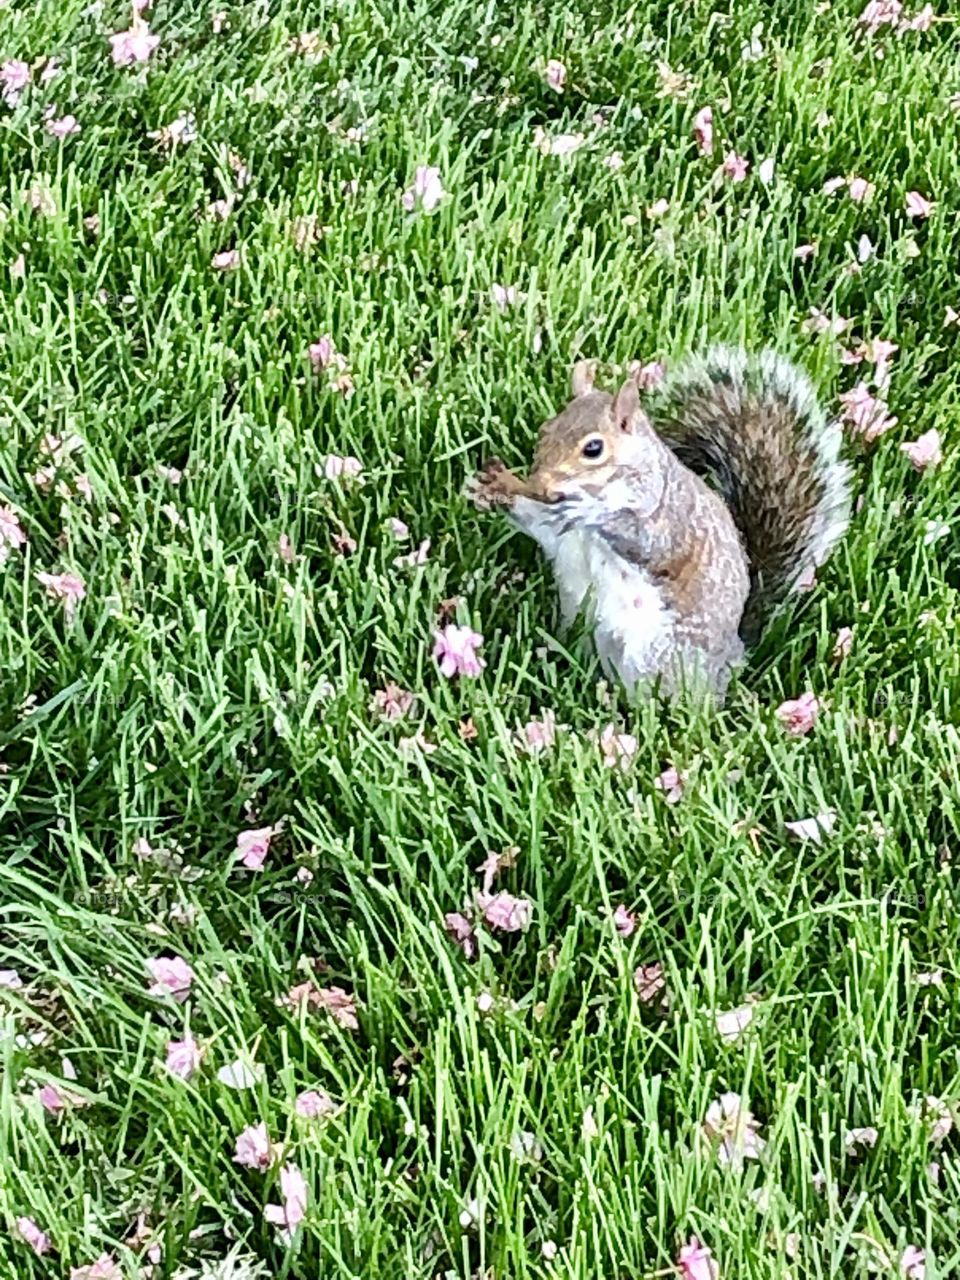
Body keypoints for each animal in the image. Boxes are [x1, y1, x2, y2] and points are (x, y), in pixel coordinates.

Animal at [468, 346, 852, 701]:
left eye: (593, 448)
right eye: (546, 430)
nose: (542, 482)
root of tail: (734, 659)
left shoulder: (669, 521)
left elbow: (645, 542)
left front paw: (587, 510)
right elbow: (537, 521)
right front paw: (495, 486)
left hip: (659, 657)